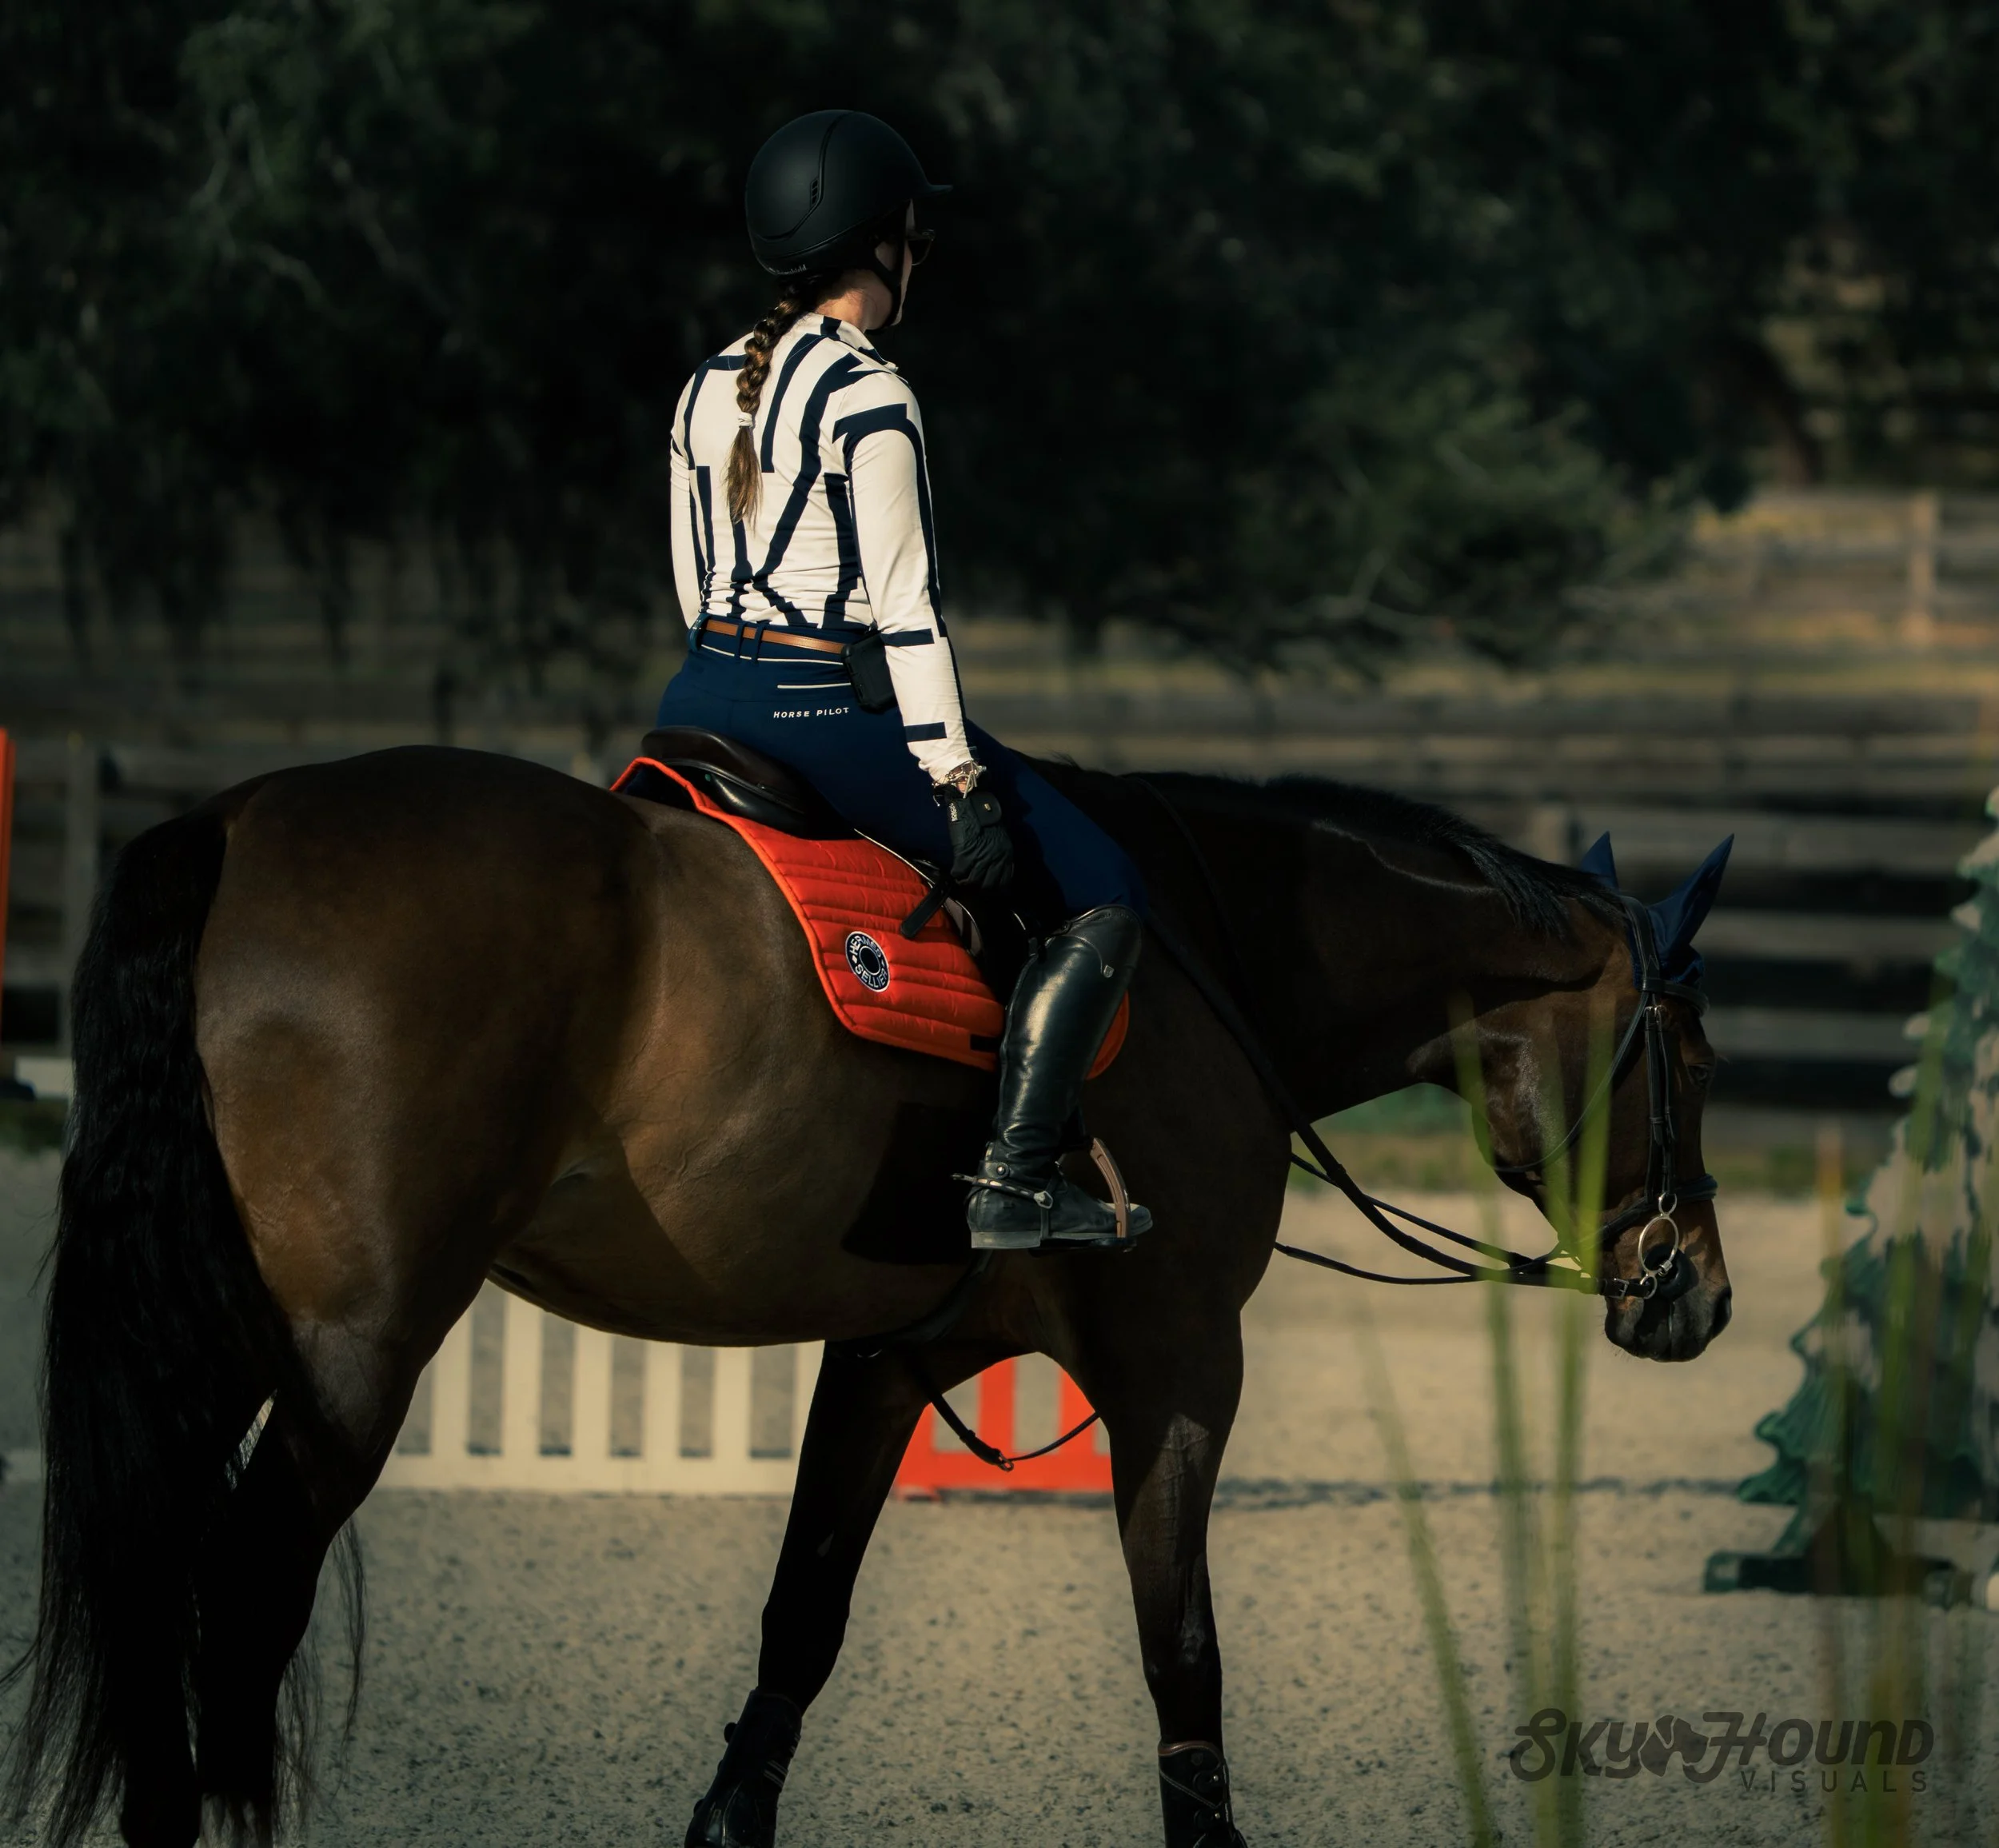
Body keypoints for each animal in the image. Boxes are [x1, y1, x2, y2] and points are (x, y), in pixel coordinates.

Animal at [2, 742, 1733, 1848]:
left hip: (218, 1339)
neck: (1207, 957)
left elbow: (800, 1624)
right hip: (346, 1359)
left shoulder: (890, 1359)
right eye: (1694, 1056)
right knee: (233, 1606)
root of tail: (233, 824)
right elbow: (1182, 1653)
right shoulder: (1183, 1365)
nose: (1696, 1298)